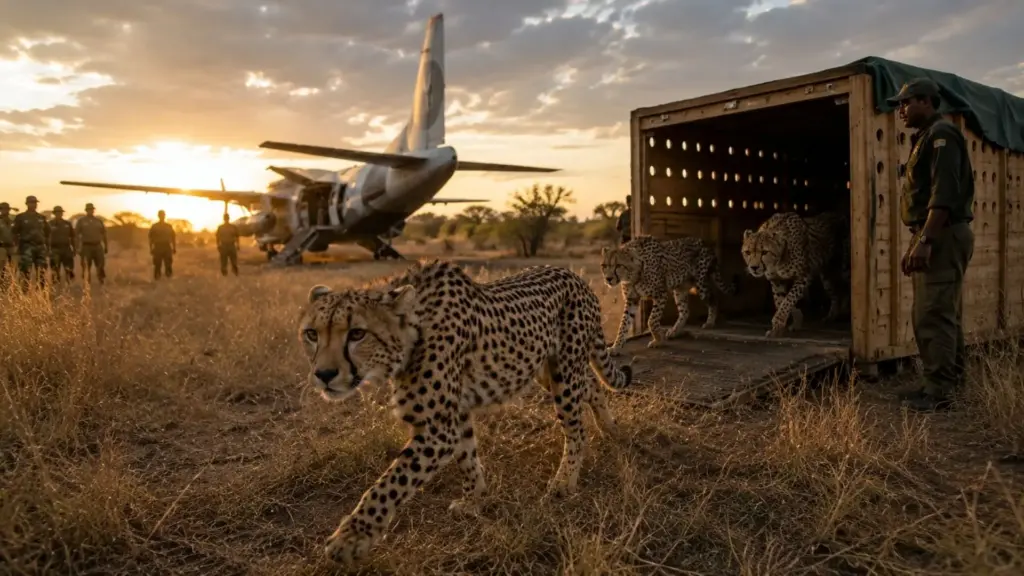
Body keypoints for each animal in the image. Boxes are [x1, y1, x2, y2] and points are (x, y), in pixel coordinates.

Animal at [297, 259, 633, 567]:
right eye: (312, 334)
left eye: (357, 334)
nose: (323, 374)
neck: (414, 329)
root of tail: (574, 275)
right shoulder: (454, 415)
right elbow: (467, 456)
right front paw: (475, 498)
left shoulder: (437, 430)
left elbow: (389, 484)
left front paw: (351, 537)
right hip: (544, 368)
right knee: (591, 384)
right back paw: (611, 428)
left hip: (563, 371)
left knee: (576, 427)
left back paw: (564, 481)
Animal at [601, 234, 740, 354]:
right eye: (604, 266)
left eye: (618, 265)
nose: (608, 279)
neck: (633, 275)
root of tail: (704, 242)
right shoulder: (632, 299)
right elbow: (624, 323)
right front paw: (616, 347)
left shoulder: (660, 294)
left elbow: (652, 320)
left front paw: (658, 340)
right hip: (679, 289)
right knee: (685, 311)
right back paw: (674, 331)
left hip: (701, 285)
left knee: (713, 300)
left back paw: (709, 323)